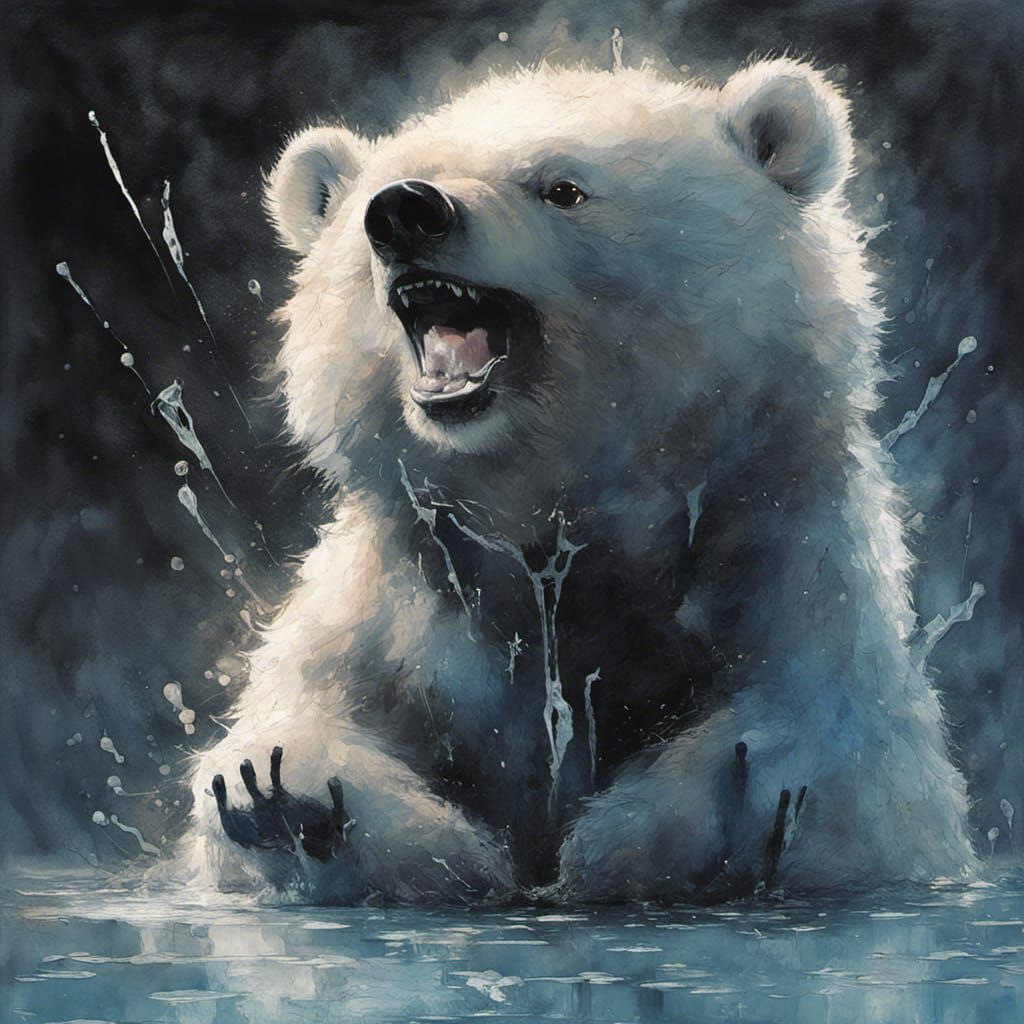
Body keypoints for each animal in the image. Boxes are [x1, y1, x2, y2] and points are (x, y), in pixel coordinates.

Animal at [185, 58, 978, 903]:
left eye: (562, 188)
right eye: (393, 181)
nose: (405, 212)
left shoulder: (783, 563)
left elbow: (837, 753)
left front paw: (713, 809)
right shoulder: (399, 613)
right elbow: (306, 725)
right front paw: (286, 799)